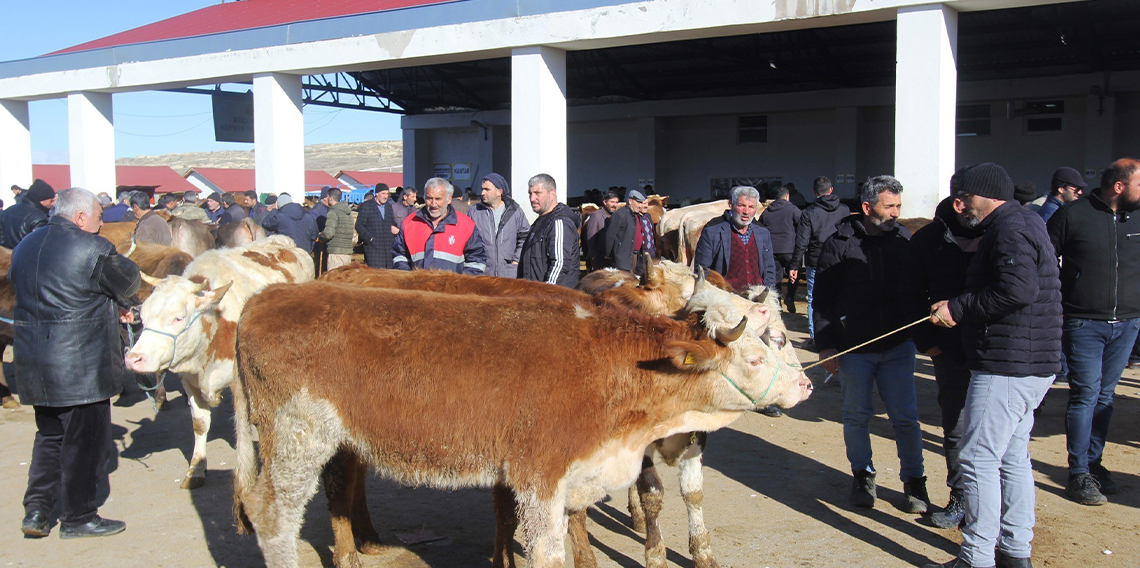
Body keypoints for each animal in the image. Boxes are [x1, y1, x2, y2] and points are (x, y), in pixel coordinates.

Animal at [124, 234, 314, 488]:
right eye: (143, 317)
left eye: (178, 318)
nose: (134, 359)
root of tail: (282, 241)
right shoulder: (189, 381)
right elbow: (200, 423)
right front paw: (196, 468)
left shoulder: (239, 381)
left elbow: (243, 424)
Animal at [229, 277, 811, 568]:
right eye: (756, 355)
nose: (805, 386)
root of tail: (262, 299)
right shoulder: (539, 476)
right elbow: (548, 552)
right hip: (299, 438)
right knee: (273, 514)